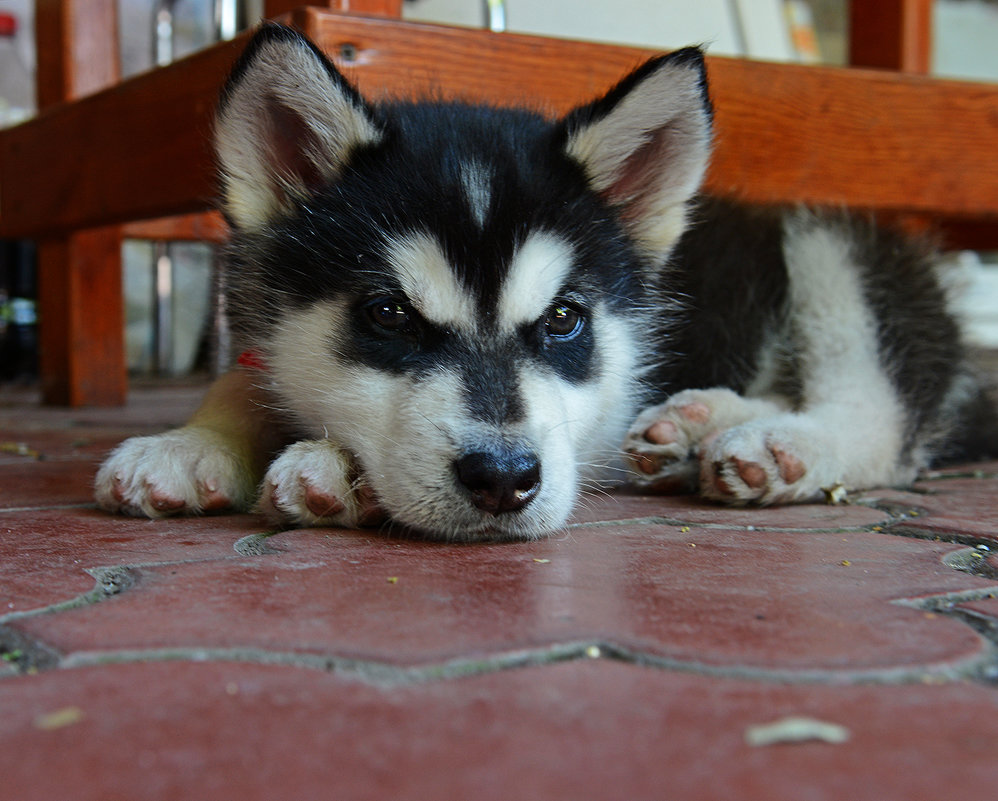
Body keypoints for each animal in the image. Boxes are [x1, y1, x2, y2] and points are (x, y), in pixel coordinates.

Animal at [92, 25, 992, 540]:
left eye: (564, 319)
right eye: (387, 313)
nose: (503, 479)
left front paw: (333, 466)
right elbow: (244, 380)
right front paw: (189, 445)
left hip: (832, 248)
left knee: (883, 417)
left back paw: (784, 443)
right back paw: (694, 424)